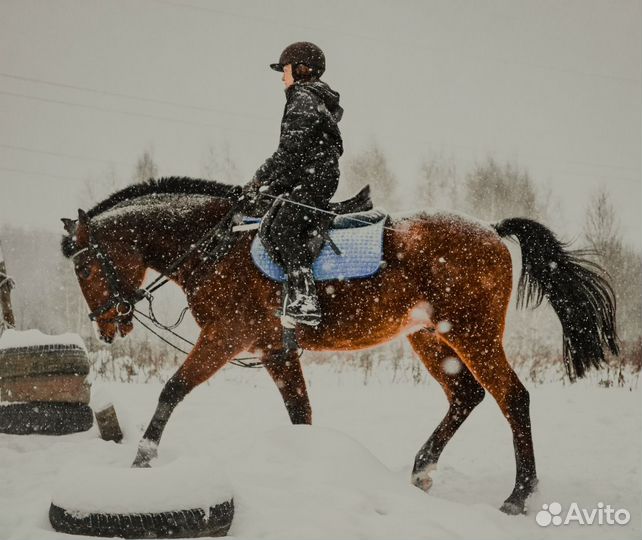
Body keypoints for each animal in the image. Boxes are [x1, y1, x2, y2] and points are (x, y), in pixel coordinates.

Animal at [61, 177, 618, 515]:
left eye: (84, 265)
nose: (107, 326)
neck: (214, 246)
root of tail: (493, 232)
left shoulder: (224, 337)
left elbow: (172, 390)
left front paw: (142, 461)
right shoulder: (275, 350)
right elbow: (300, 414)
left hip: (471, 333)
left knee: (513, 398)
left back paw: (518, 496)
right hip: (429, 336)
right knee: (467, 396)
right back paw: (421, 471)